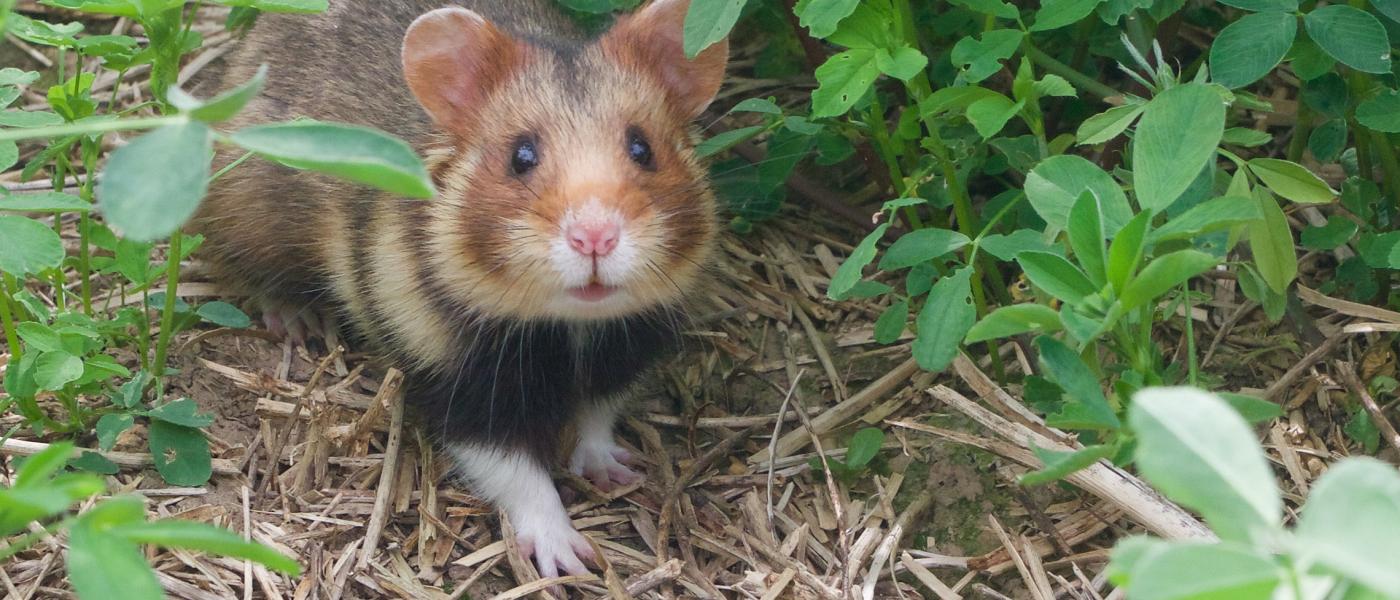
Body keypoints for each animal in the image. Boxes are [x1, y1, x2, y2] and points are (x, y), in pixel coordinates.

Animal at [192, 0, 727, 577]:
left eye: (642, 148)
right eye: (521, 156)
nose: (595, 237)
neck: (569, 326)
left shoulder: (622, 348)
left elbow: (596, 417)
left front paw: (615, 473)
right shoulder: (458, 381)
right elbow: (518, 473)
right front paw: (567, 560)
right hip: (246, 207)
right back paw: (297, 320)